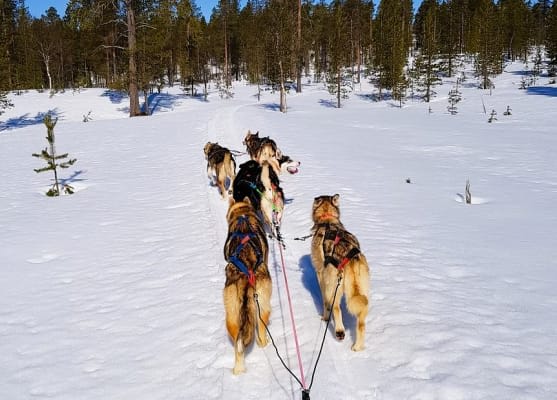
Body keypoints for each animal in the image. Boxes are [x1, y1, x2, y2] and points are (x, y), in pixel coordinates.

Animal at [224, 198, 272, 374]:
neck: (243, 214)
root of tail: (247, 272)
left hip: (231, 315)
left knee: (238, 343)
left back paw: (238, 370)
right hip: (262, 306)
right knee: (261, 332)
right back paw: (264, 343)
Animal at [310, 194, 368, 350]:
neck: (327, 220)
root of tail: (350, 258)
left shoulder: (321, 276)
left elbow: (325, 302)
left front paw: (324, 317)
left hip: (333, 285)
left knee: (336, 309)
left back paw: (339, 331)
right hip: (362, 292)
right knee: (361, 323)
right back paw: (357, 347)